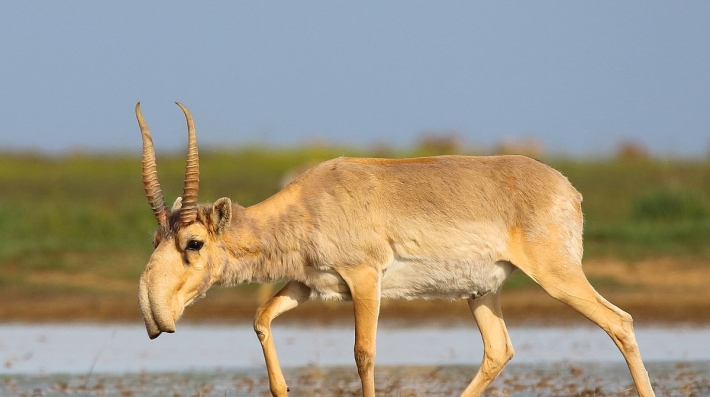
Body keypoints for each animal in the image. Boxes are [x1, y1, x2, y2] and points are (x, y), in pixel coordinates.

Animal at [135, 103, 656, 396]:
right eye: (156, 239)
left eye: (194, 242)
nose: (153, 315)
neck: (309, 202)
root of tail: (568, 189)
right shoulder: (308, 285)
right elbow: (261, 319)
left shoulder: (366, 280)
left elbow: (363, 353)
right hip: (481, 292)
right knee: (498, 350)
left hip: (557, 277)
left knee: (620, 322)